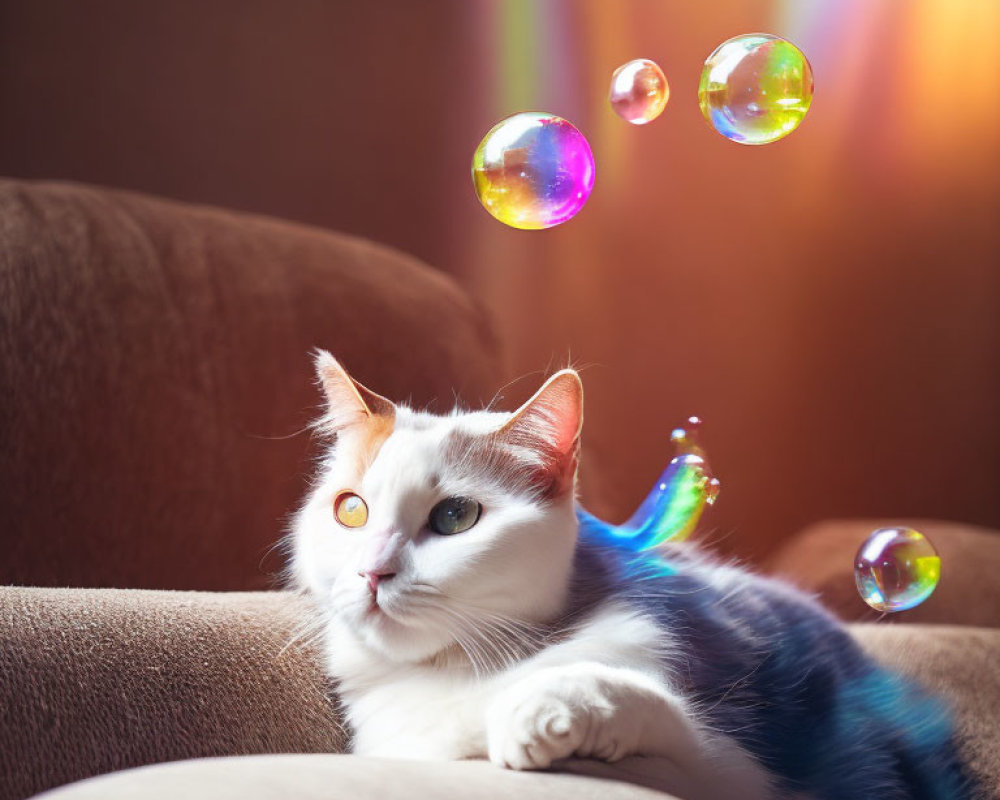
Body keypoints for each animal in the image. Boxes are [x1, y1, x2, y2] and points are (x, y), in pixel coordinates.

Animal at [290, 352, 976, 800]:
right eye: (350, 511)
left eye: (455, 517)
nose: (372, 571)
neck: (456, 670)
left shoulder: (742, 765)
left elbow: (652, 710)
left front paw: (546, 710)